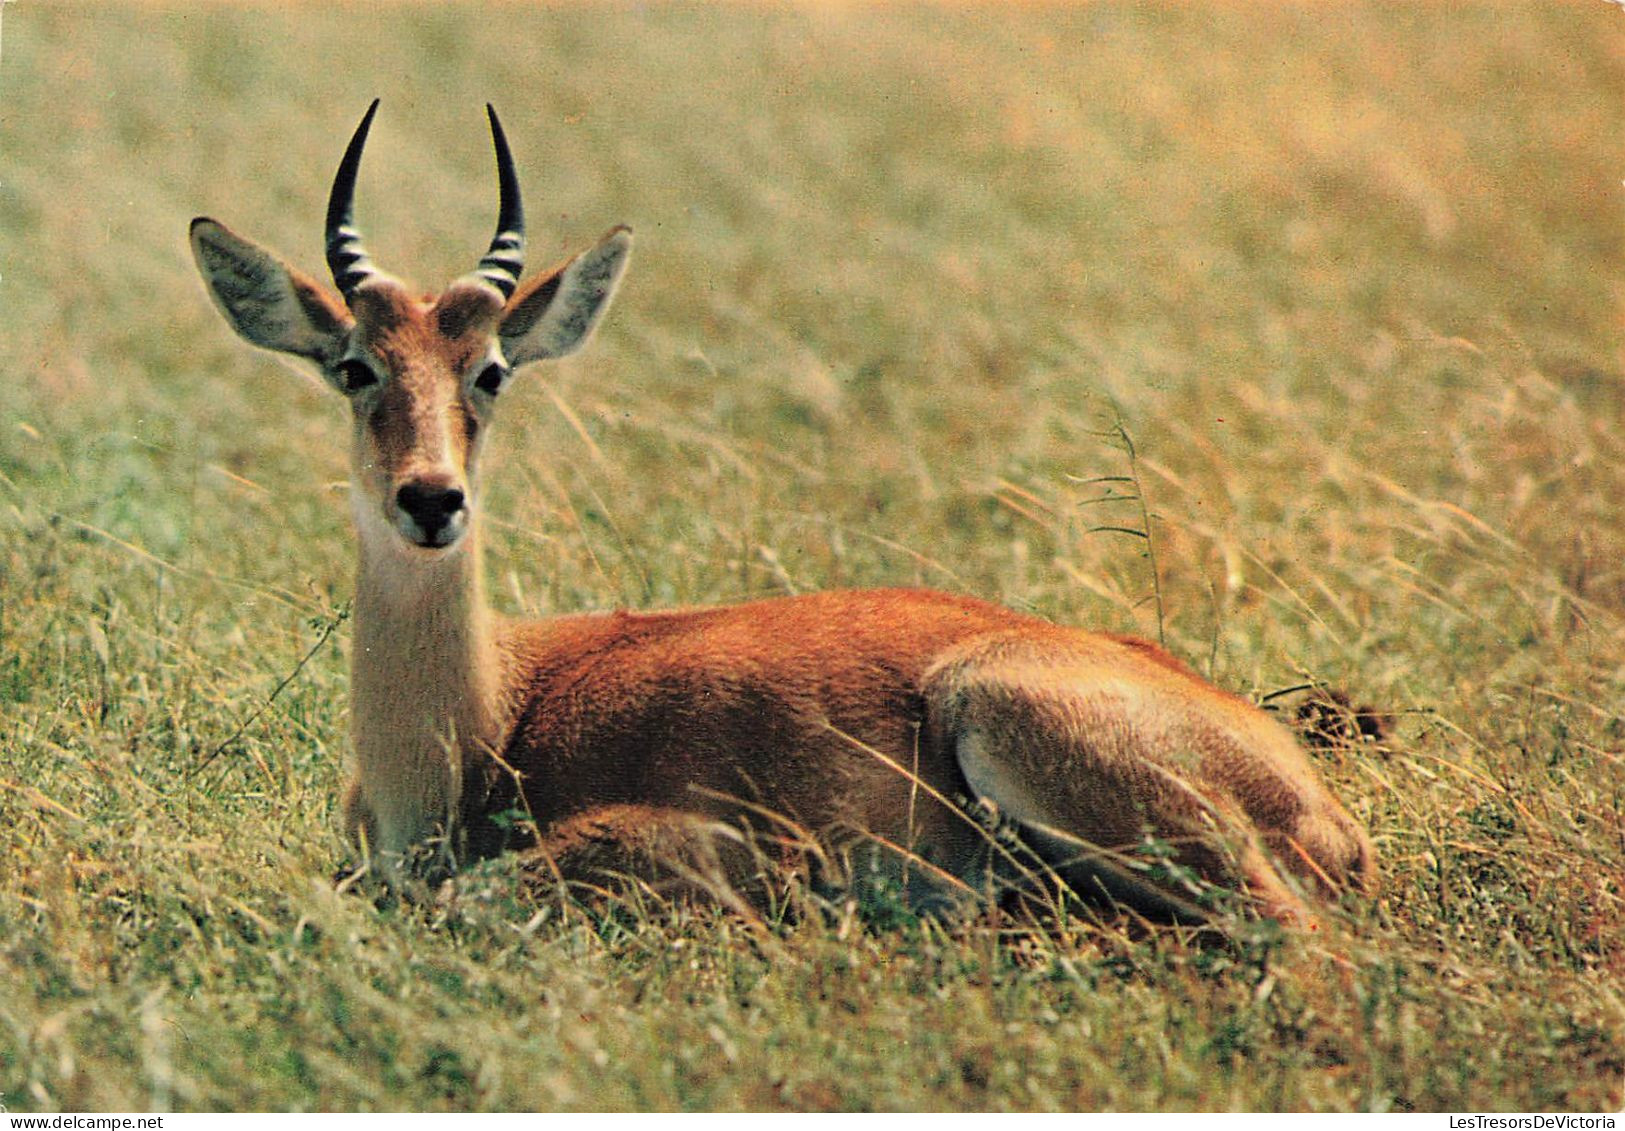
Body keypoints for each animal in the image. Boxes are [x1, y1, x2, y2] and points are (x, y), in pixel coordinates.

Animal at [196, 101, 1378, 923]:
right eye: (354, 365)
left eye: (489, 371)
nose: (431, 499)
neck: (483, 724)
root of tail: (1313, 798)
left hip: (1019, 729)